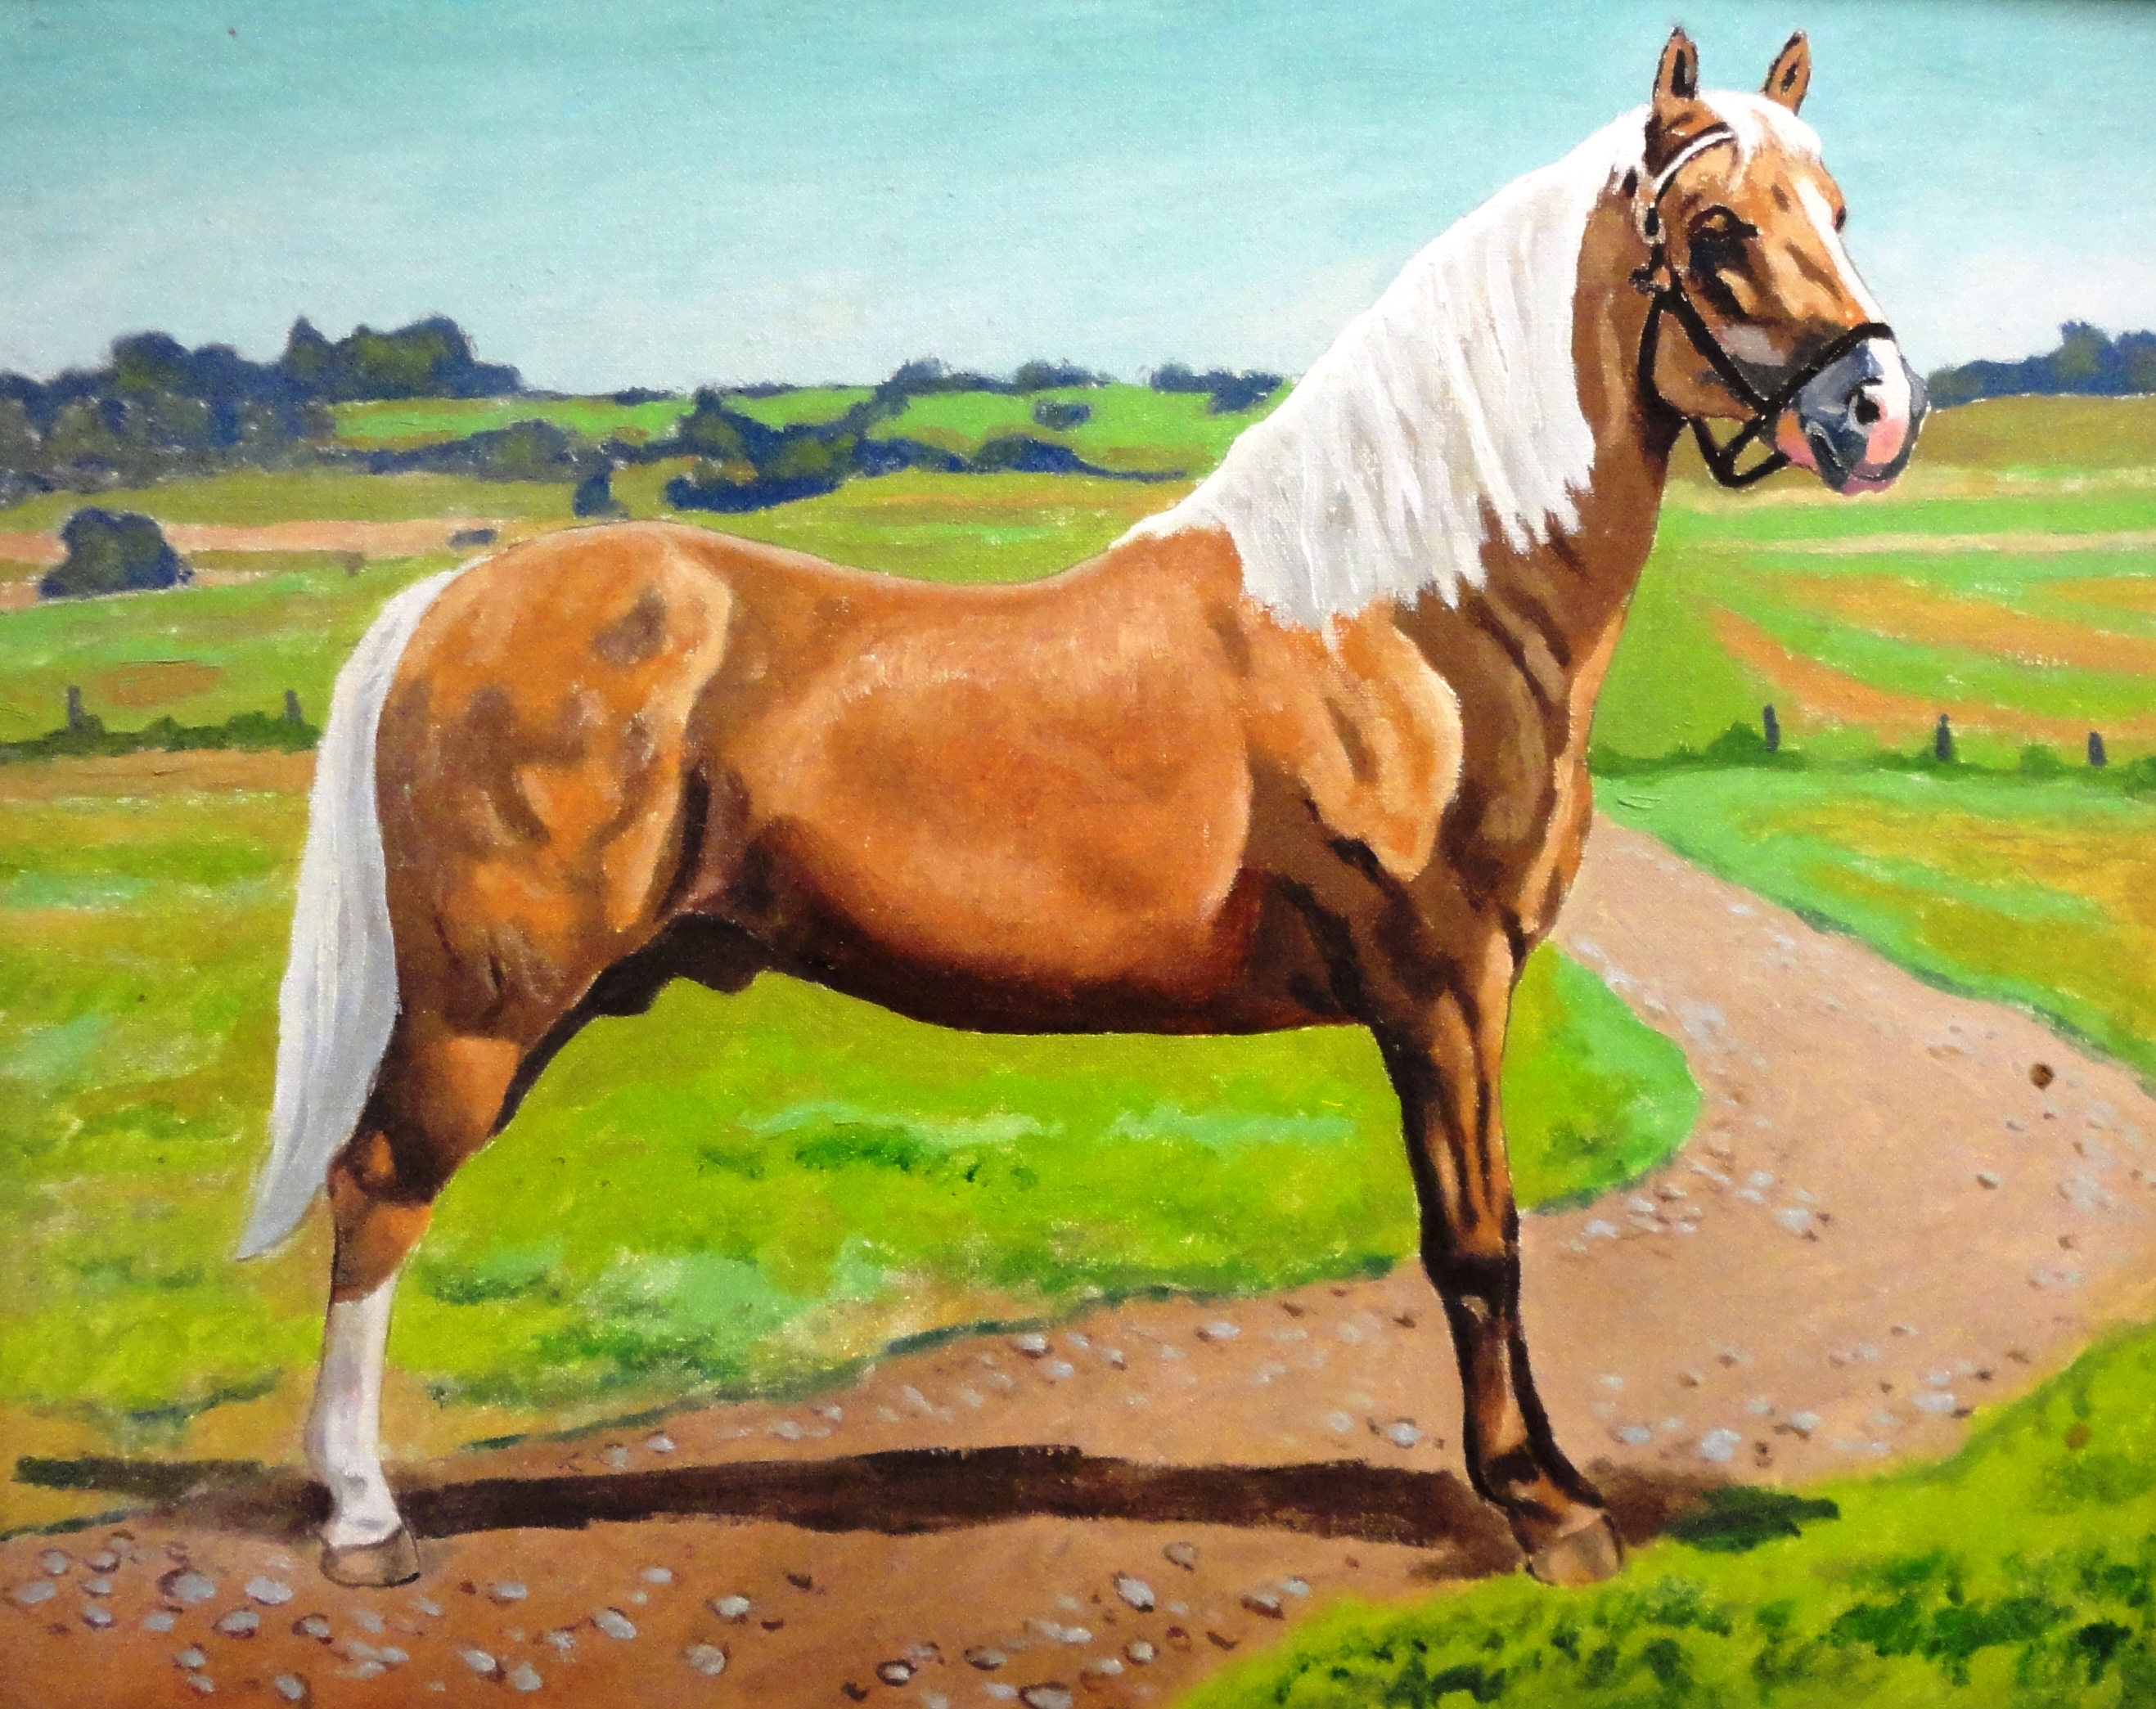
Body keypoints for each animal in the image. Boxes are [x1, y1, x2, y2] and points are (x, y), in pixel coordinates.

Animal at [238, 28, 1923, 1590]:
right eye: (1719, 229)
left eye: (1838, 208)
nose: (1878, 408)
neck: (1407, 609)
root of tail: (452, 598)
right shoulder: (1444, 987)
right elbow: (1478, 1244)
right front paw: (1543, 1507)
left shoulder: (1464, 989)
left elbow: (1488, 1236)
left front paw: (1552, 1480)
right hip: (486, 1003)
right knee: (375, 1191)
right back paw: (367, 1519)